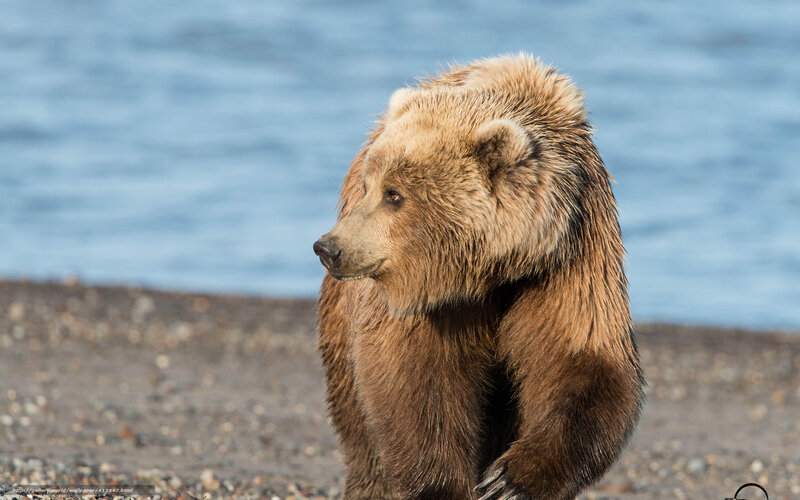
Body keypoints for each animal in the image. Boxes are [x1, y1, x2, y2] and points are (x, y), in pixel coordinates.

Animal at [313, 53, 645, 500]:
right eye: (369, 187)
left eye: (394, 194)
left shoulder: (569, 259)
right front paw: (444, 487)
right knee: (356, 418)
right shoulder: (431, 300)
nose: (329, 248)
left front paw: (509, 480)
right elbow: (416, 377)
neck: (494, 267)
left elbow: (582, 359)